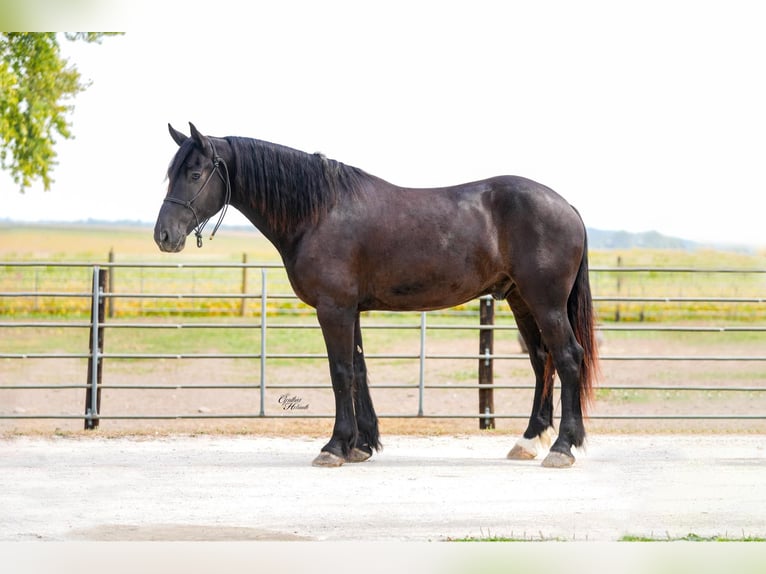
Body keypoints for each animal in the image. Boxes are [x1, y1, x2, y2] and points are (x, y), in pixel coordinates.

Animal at [154, 123, 599, 468]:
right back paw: (529, 441)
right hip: (522, 301)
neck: (320, 212)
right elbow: (359, 371)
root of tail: (567, 206)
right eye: (171, 172)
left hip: (545, 303)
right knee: (542, 362)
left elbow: (340, 373)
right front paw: (362, 445)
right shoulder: (350, 310)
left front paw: (335, 446)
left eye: (195, 173)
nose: (164, 236)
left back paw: (563, 447)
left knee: (567, 357)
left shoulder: (333, 309)